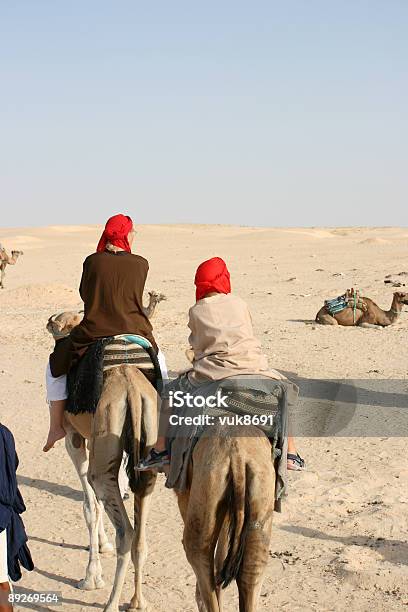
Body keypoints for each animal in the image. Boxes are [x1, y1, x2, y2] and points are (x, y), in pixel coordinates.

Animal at [175, 426, 274, 612]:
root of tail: (237, 455)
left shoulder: (183, 488)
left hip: (208, 479)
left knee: (198, 549)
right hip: (262, 481)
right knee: (253, 564)